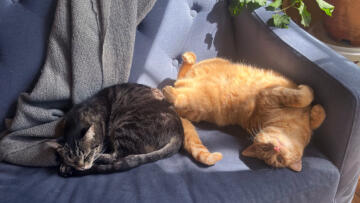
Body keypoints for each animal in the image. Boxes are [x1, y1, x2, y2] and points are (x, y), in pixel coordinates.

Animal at [46, 83, 184, 177]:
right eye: (72, 158)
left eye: (87, 155)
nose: (82, 167)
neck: (78, 117)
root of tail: (179, 131)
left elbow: (98, 154)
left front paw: (67, 166)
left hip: (126, 124)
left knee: (117, 157)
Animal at [163, 51, 326, 170]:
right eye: (265, 148)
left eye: (279, 159)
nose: (275, 148)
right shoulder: (272, 95)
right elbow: (306, 98)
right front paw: (311, 99)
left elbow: (315, 115)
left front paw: (316, 111)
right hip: (214, 65)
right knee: (181, 77)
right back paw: (188, 60)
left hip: (198, 100)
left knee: (179, 86)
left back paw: (172, 87)